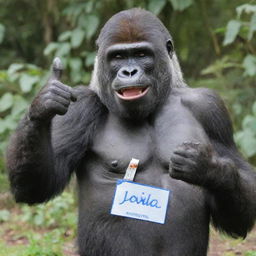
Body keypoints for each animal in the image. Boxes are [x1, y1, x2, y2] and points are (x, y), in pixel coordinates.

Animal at [6, 8, 256, 256]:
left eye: (141, 54)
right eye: (118, 57)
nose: (129, 71)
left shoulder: (210, 107)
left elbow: (239, 209)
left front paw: (209, 168)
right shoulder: (80, 106)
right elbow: (37, 185)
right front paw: (42, 106)